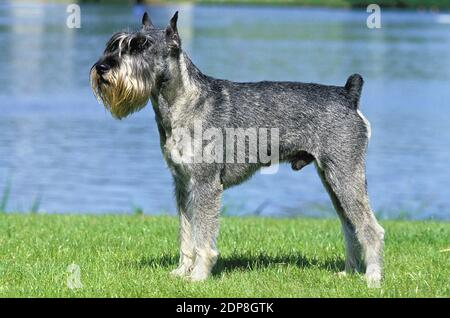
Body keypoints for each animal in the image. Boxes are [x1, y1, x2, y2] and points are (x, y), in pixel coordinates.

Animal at [90, 11, 384, 286]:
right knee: (350, 226)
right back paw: (349, 272)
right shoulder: (182, 184)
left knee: (370, 228)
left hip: (345, 175)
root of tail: (348, 95)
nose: (102, 67)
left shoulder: (206, 184)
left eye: (142, 46)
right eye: (113, 44)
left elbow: (203, 235)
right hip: (332, 180)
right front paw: (182, 271)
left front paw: (199, 275)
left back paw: (372, 277)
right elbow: (186, 231)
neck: (184, 102)